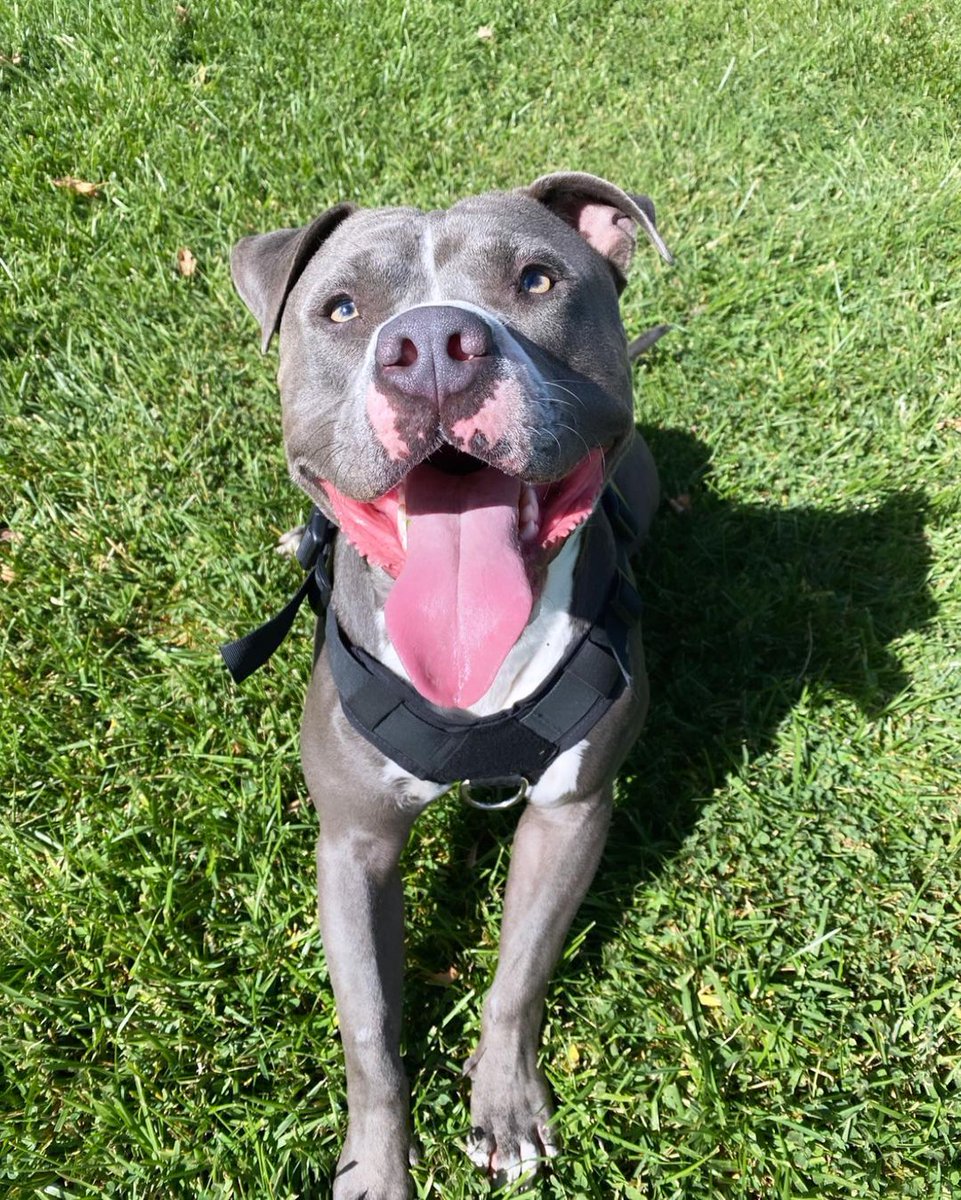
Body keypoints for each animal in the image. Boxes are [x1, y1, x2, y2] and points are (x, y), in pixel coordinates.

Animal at [229, 174, 671, 1195]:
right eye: (340, 309)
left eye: (537, 279)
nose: (432, 344)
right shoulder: (353, 844)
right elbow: (369, 1033)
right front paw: (376, 1164)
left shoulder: (571, 812)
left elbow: (521, 973)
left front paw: (504, 1106)